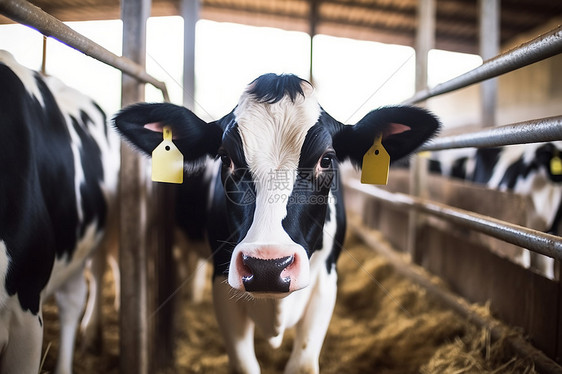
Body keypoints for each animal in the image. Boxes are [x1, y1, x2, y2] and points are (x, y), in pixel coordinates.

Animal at [114, 74, 438, 374]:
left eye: (326, 160)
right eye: (225, 158)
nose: (266, 267)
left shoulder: (326, 281)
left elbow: (303, 364)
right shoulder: (222, 281)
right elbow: (244, 365)